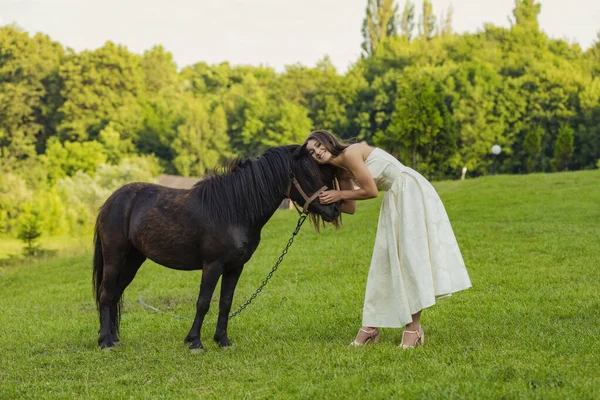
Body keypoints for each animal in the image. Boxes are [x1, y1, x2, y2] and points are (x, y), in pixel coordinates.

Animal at [92, 145, 340, 350]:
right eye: (308, 174)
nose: (335, 209)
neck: (234, 210)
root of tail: (110, 201)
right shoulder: (212, 265)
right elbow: (203, 302)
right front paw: (194, 342)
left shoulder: (235, 267)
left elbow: (225, 303)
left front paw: (222, 340)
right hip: (115, 258)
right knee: (106, 294)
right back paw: (106, 342)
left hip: (133, 261)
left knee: (115, 294)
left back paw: (114, 338)